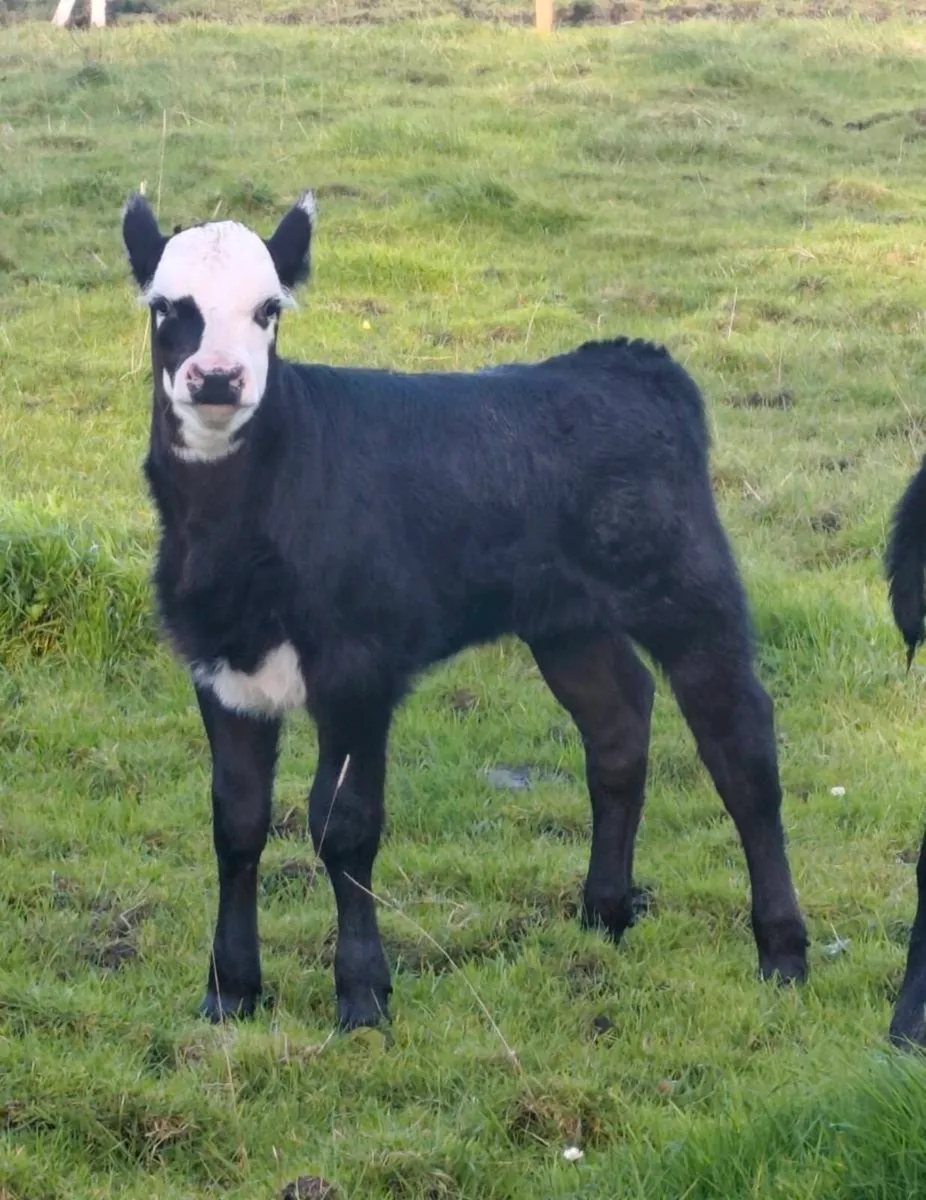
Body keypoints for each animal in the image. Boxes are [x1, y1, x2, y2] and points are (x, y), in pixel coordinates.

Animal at [121, 190, 808, 1030]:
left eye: (268, 310)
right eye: (166, 308)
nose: (217, 380)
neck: (237, 520)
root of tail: (627, 361)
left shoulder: (359, 668)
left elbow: (343, 828)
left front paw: (362, 994)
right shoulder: (221, 669)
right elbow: (236, 824)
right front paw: (229, 991)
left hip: (689, 589)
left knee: (741, 747)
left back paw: (782, 950)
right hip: (567, 620)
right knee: (618, 722)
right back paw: (605, 911)